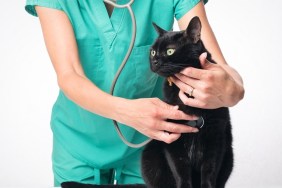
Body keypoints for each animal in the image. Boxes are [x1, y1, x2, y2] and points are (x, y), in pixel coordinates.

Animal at [60, 16, 232, 188]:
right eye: (153, 51)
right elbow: (180, 170)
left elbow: (209, 171)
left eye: (170, 51)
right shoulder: (172, 138)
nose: (154, 61)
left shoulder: (216, 137)